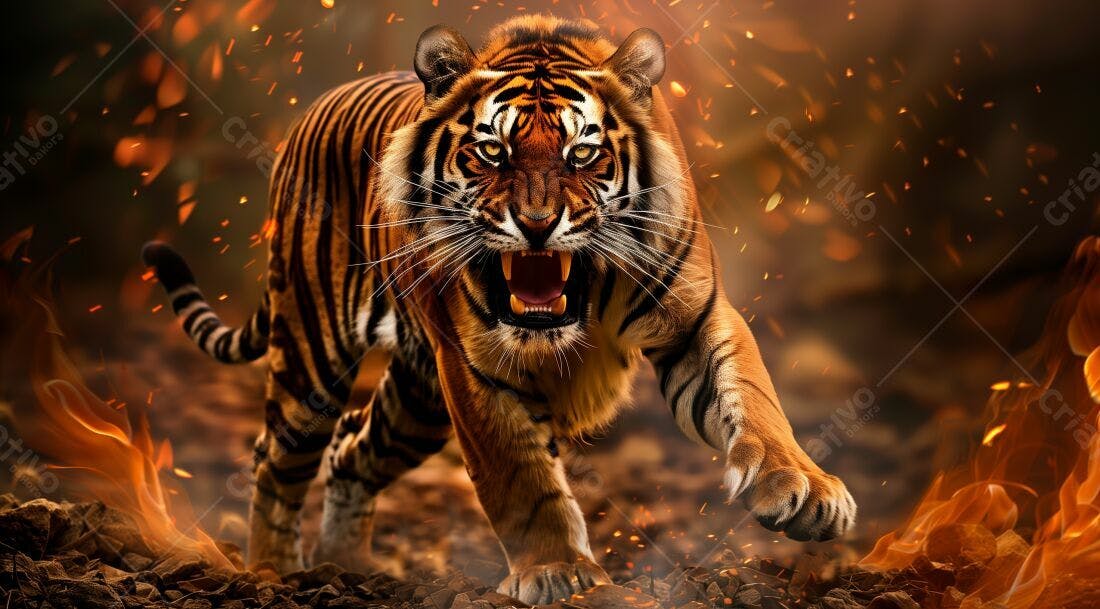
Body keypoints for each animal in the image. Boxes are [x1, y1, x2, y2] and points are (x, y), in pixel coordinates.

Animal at [141, 15, 856, 605]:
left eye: (583, 152)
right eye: (492, 151)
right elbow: (521, 477)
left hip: (416, 405)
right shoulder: (473, 371)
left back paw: (348, 566)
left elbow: (753, 398)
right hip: (313, 353)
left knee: (352, 448)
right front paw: (557, 570)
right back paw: (272, 572)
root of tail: (316, 106)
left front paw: (806, 491)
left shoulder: (698, 320)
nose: (537, 224)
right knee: (277, 457)